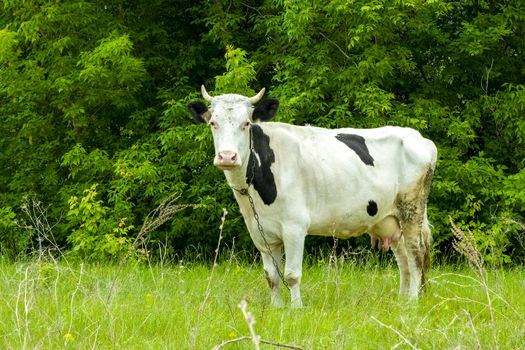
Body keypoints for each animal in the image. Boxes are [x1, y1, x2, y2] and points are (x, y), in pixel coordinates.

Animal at [186, 86, 436, 308]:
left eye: (246, 123)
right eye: (213, 123)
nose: (227, 157)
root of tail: (418, 137)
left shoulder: (295, 227)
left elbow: (291, 274)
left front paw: (297, 308)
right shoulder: (260, 233)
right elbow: (271, 276)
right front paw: (277, 307)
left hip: (412, 209)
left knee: (415, 254)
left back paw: (412, 301)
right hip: (389, 218)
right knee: (403, 257)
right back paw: (401, 300)